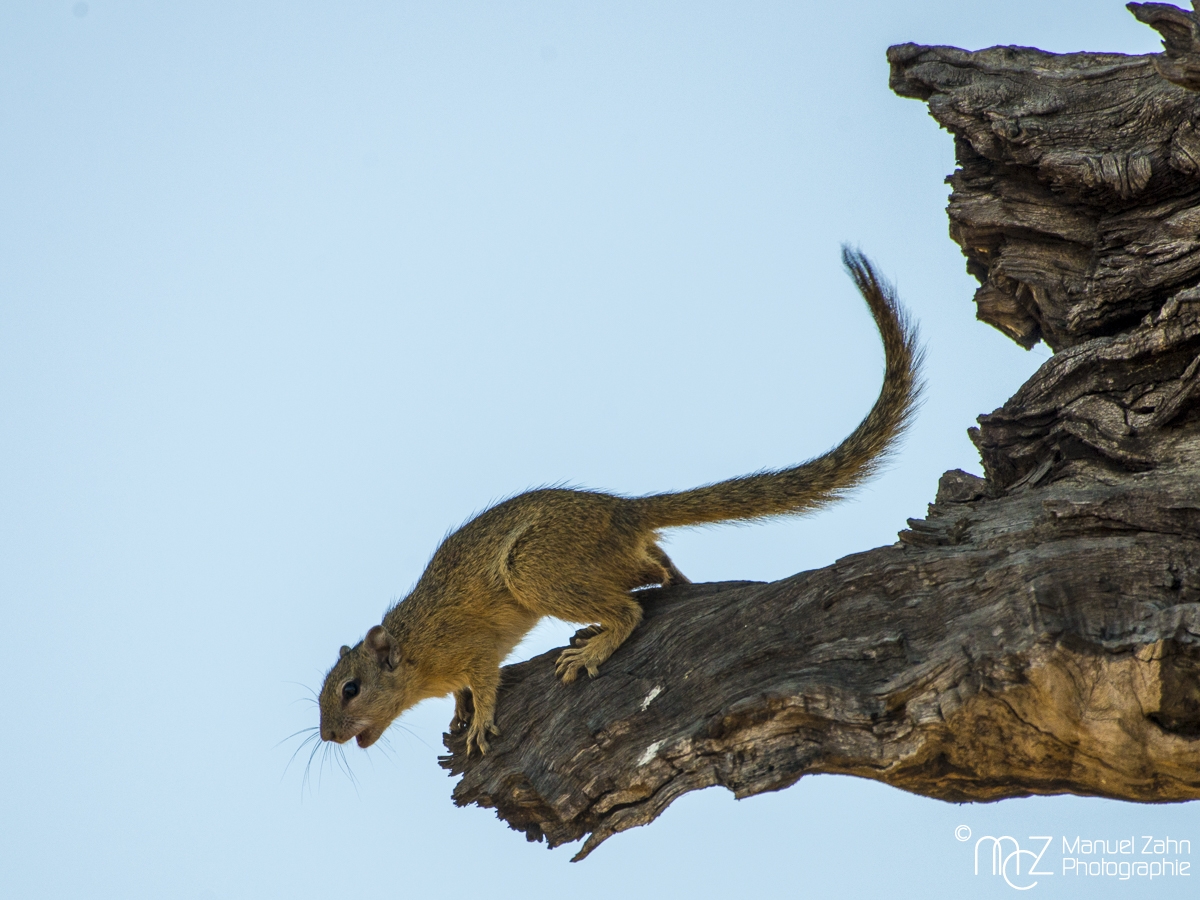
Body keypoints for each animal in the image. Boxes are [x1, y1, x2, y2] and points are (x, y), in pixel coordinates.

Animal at [318, 247, 922, 756]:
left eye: (350, 689)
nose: (327, 736)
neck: (416, 650)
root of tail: (622, 511)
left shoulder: (468, 646)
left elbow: (485, 681)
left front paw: (479, 720)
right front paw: (459, 711)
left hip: (534, 567)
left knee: (631, 606)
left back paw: (593, 646)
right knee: (660, 572)